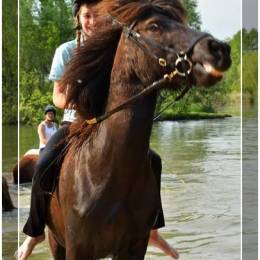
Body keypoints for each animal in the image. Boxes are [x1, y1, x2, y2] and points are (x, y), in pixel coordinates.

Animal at [45, 0, 231, 258]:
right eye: (154, 26)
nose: (219, 49)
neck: (105, 172)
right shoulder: (77, 247)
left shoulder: (135, 244)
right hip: (55, 241)